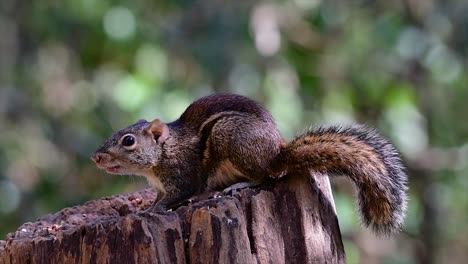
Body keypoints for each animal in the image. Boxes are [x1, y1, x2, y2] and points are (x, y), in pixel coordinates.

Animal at [90, 93, 406, 235]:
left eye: (128, 141)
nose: (96, 157)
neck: (163, 154)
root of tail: (278, 153)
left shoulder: (182, 175)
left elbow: (178, 195)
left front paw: (153, 211)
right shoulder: (158, 186)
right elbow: (157, 197)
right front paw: (143, 209)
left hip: (233, 139)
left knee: (266, 176)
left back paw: (239, 185)